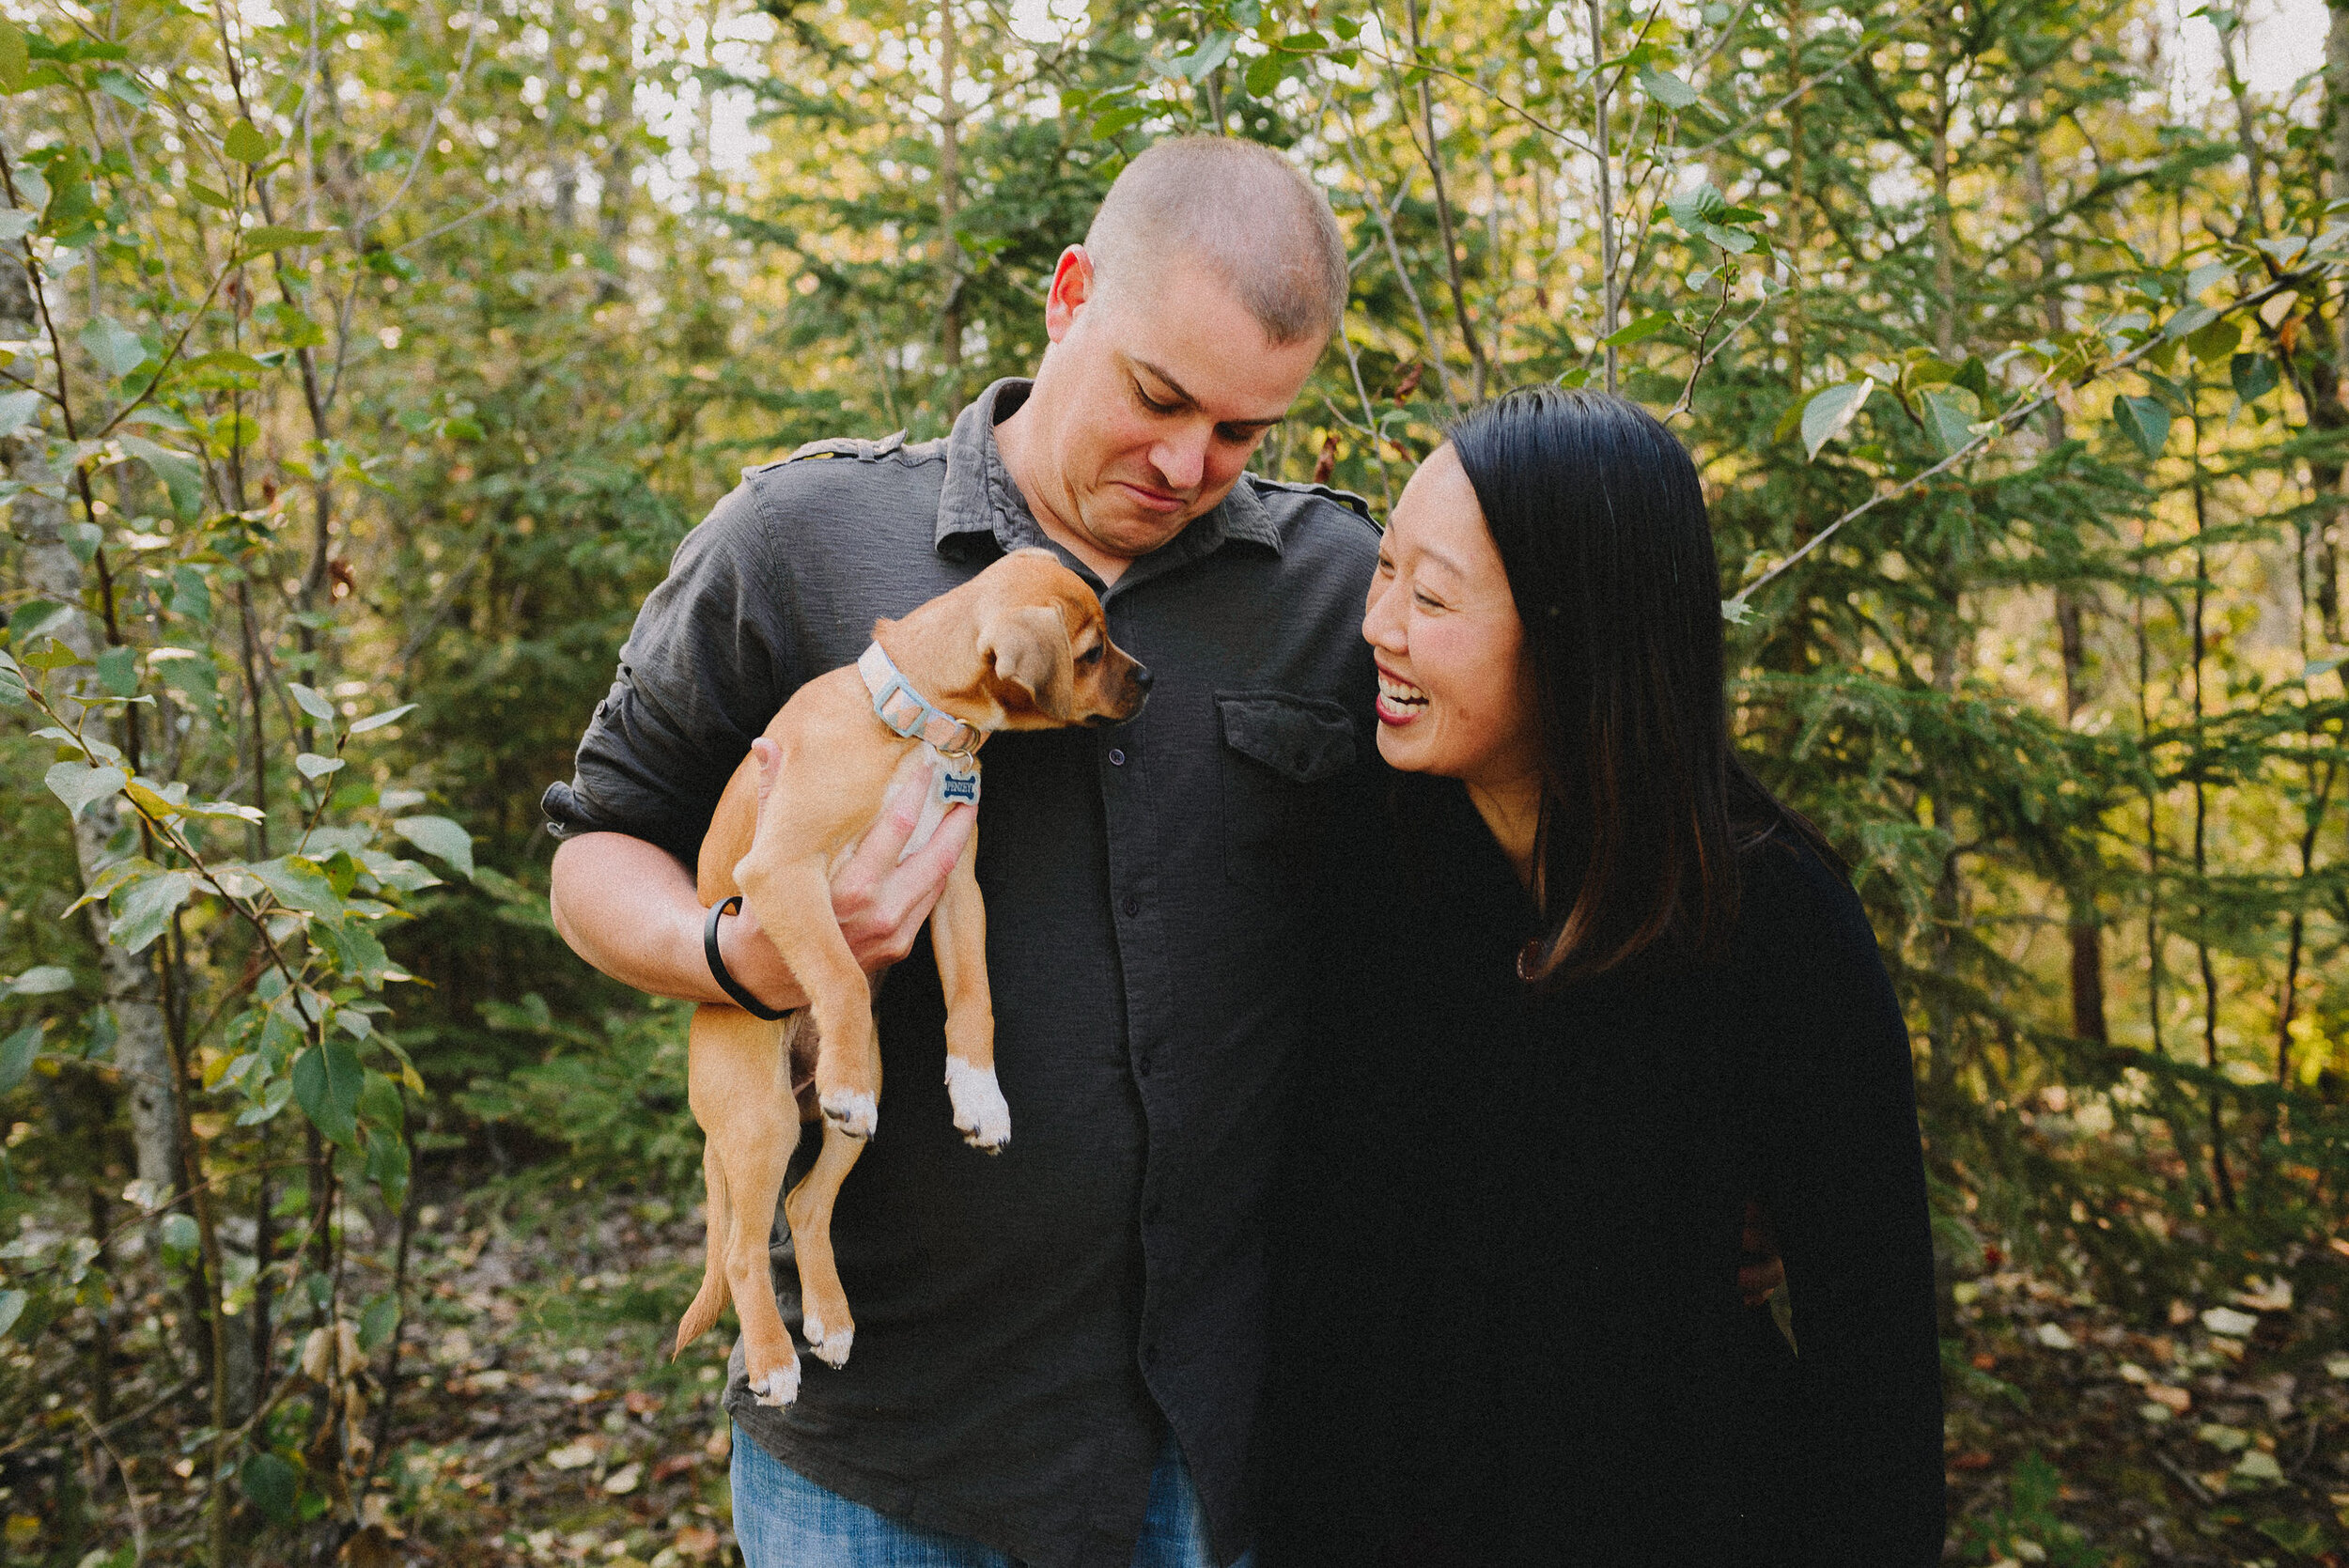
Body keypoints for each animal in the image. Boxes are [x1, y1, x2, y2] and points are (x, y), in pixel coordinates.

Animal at [672, 551, 1146, 1408]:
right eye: (1092, 653)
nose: (1150, 679)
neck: (914, 726)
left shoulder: (956, 889)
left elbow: (974, 999)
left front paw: (980, 1095)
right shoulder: (783, 872)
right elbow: (839, 972)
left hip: (853, 1102)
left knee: (808, 1204)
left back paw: (829, 1318)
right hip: (762, 1121)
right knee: (743, 1249)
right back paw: (774, 1360)